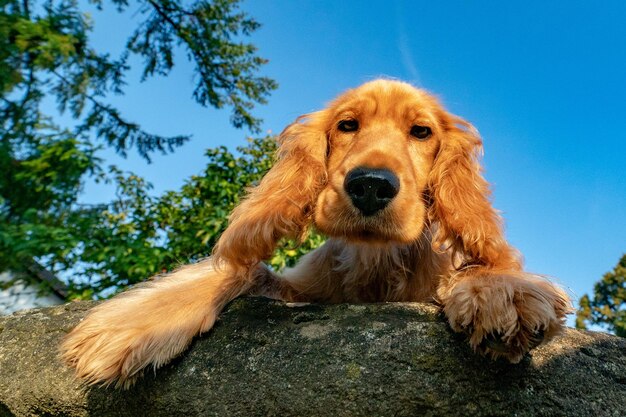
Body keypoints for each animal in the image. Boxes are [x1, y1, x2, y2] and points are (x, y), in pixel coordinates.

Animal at [61, 80, 568, 386]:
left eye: (421, 131)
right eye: (347, 125)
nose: (370, 185)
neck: (373, 261)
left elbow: (472, 270)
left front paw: (501, 292)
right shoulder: (300, 289)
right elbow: (242, 270)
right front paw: (141, 321)